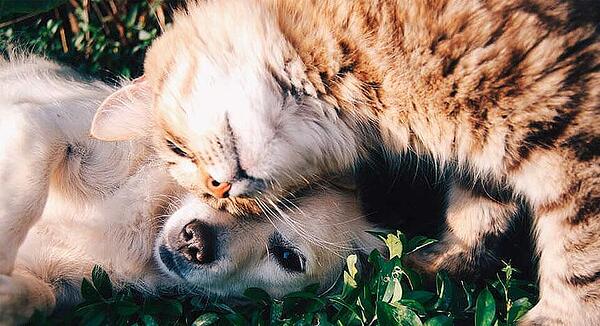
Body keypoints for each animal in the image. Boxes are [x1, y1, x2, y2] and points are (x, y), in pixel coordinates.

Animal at [90, 0, 600, 324]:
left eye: (177, 150)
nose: (220, 190)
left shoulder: (570, 131)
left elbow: (579, 260)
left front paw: (559, 317)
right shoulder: (486, 150)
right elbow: (476, 211)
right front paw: (439, 264)